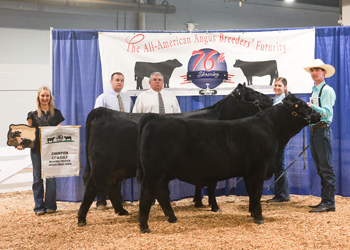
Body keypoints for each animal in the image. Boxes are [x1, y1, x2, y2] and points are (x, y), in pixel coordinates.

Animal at [77, 84, 274, 227]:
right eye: (252, 93)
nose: (271, 98)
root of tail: (104, 111)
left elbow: (201, 184)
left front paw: (198, 202)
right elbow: (211, 185)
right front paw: (214, 206)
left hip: (115, 168)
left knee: (109, 186)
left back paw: (121, 211)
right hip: (103, 164)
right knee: (93, 187)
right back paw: (82, 219)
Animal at [136, 94, 320, 232]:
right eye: (303, 105)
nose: (318, 114)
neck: (271, 129)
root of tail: (153, 117)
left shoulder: (248, 172)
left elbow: (251, 192)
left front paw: (252, 212)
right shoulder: (259, 168)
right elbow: (257, 192)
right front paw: (259, 217)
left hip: (163, 173)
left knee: (161, 194)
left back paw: (172, 218)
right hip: (153, 171)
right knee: (147, 193)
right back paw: (144, 226)